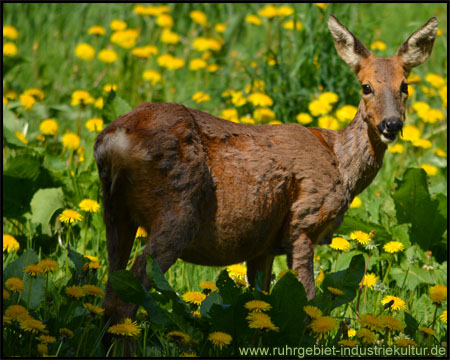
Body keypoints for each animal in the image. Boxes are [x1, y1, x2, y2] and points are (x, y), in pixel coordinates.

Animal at [94, 16, 436, 332]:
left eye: (405, 86)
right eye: (366, 87)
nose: (391, 124)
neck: (339, 162)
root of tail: (115, 140)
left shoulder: (262, 246)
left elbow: (260, 300)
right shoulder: (303, 223)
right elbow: (309, 302)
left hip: (114, 211)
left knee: (111, 289)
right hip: (177, 210)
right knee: (129, 293)